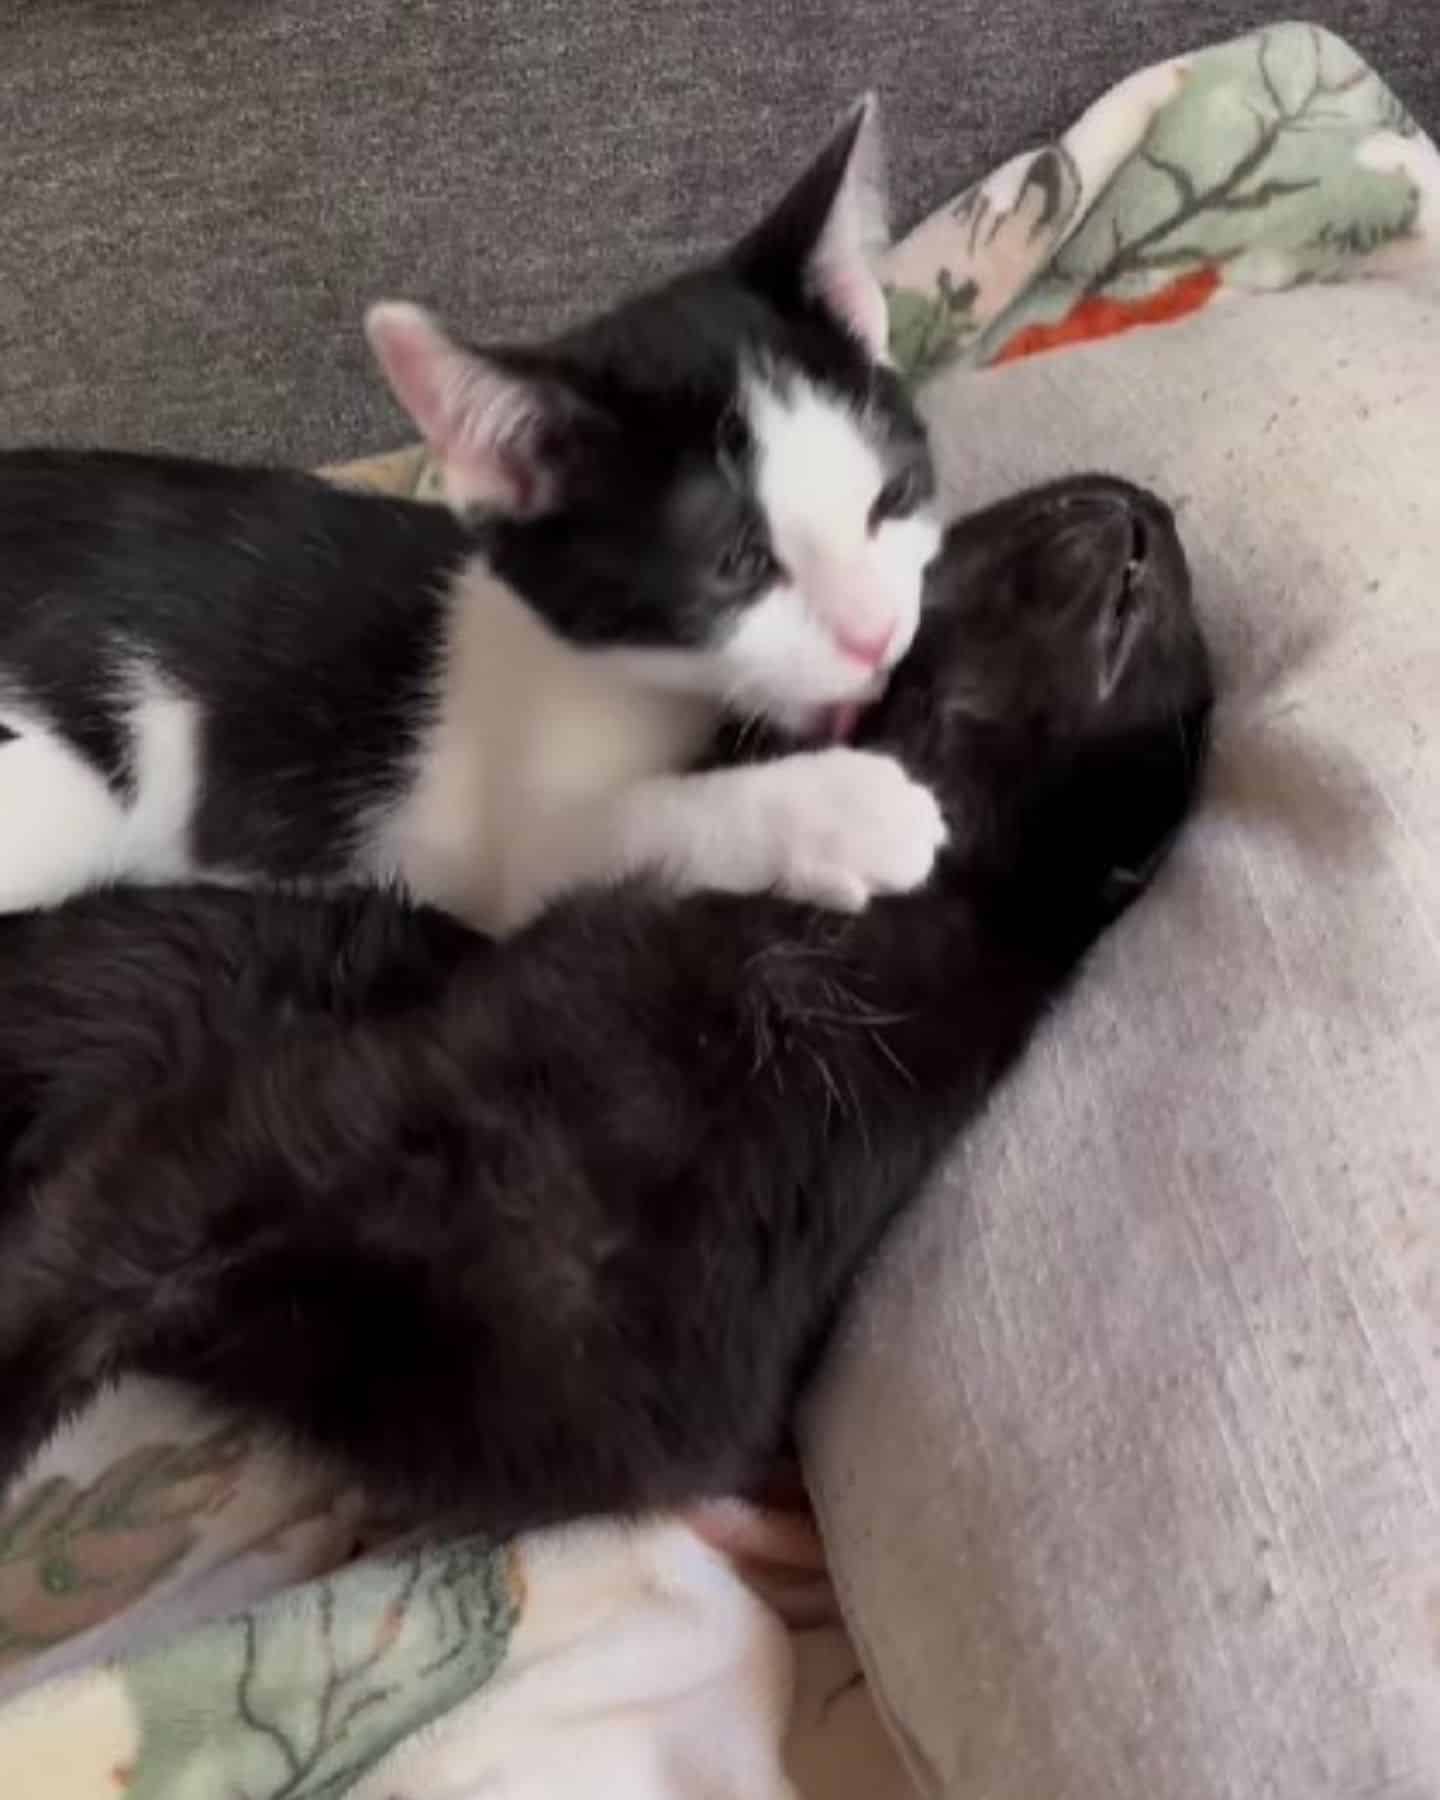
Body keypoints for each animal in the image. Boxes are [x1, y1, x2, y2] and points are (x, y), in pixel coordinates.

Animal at [0, 96, 943, 928]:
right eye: (737, 562)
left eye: (891, 498)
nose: (877, 635)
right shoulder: (502, 858)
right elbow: (623, 830)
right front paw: (839, 811)